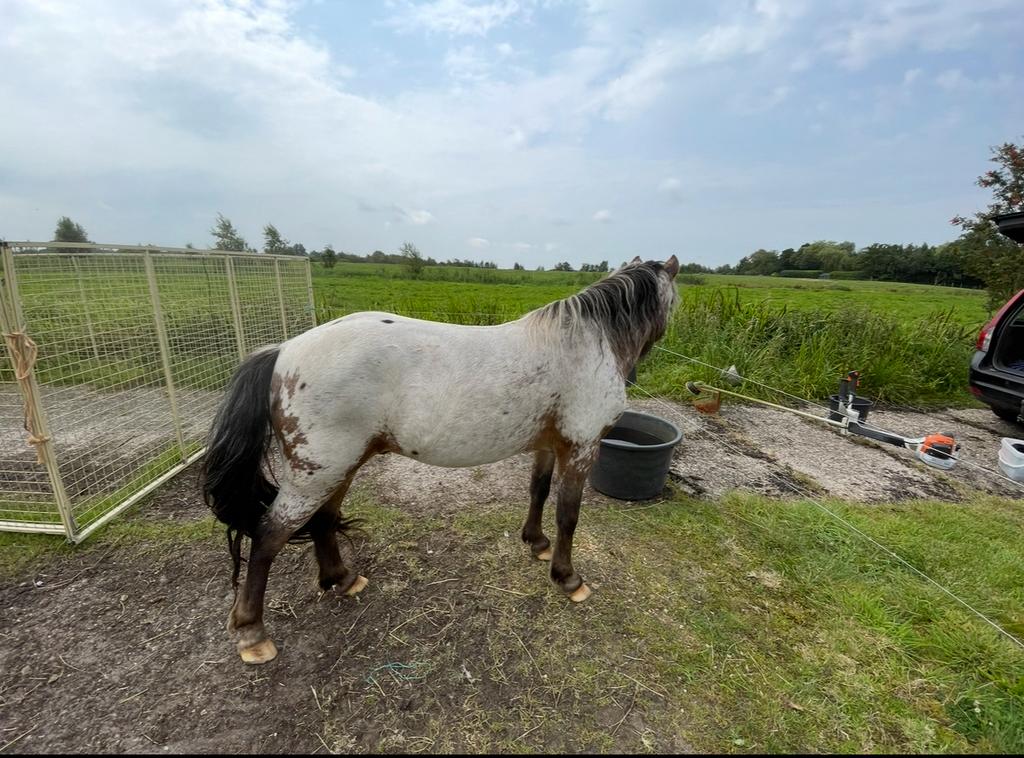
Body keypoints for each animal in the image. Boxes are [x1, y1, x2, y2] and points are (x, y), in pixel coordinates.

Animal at [201, 255, 680, 664]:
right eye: (674, 300)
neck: (581, 346)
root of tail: (283, 350)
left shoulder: (550, 447)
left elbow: (539, 492)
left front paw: (536, 543)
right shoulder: (581, 448)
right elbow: (569, 515)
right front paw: (567, 578)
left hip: (337, 468)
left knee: (324, 519)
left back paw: (342, 579)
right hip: (316, 474)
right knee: (268, 536)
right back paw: (253, 634)